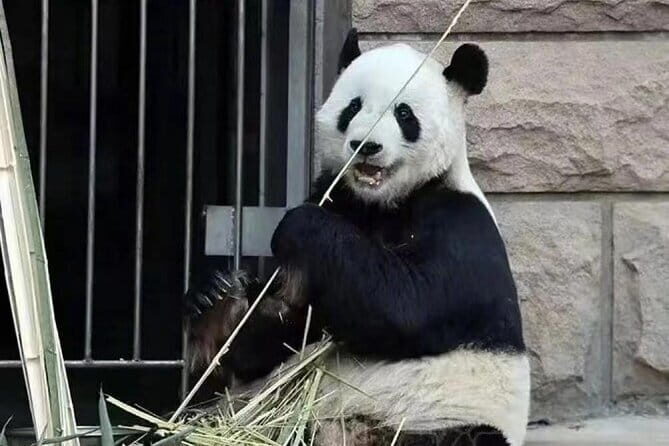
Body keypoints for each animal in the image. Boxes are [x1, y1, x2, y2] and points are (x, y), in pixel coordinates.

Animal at [185, 29, 530, 446]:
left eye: (404, 114)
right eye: (352, 107)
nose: (365, 145)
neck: (380, 204)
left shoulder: (460, 225)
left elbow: (406, 304)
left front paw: (301, 226)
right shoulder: (339, 202)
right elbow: (274, 338)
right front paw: (217, 299)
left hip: (443, 423)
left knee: (472, 435)